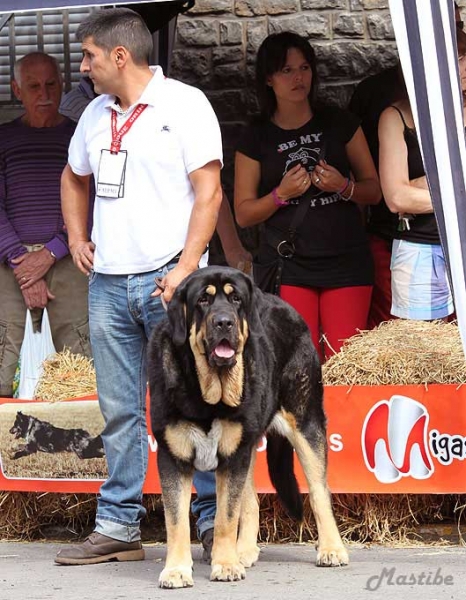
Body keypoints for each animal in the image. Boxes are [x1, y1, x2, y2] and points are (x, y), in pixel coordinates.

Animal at [147, 264, 348, 588]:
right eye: (203, 300)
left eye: (236, 299)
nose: (224, 322)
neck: (207, 392)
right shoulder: (174, 457)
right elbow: (176, 521)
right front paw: (176, 569)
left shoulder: (232, 457)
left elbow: (225, 518)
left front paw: (225, 565)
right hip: (248, 444)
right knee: (250, 501)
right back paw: (245, 551)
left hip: (306, 423)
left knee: (319, 491)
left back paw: (331, 549)